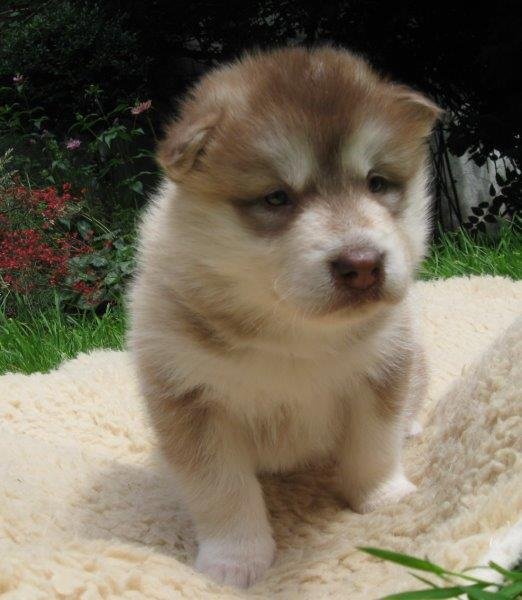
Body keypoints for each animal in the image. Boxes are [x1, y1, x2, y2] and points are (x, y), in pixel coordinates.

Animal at [128, 46, 440, 588]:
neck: (293, 333)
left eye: (377, 183)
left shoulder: (384, 368)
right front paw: (235, 562)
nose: (362, 264)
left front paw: (383, 498)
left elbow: (374, 447)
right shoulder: (189, 399)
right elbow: (222, 491)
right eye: (277, 197)